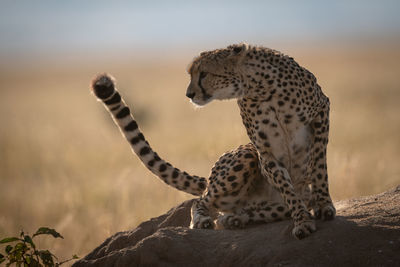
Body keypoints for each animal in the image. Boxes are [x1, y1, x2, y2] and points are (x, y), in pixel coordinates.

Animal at [186, 43, 336, 239]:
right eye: (191, 74)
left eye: (204, 73)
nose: (189, 94)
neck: (260, 88)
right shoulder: (265, 151)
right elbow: (286, 188)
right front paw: (303, 222)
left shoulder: (321, 110)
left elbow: (318, 166)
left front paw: (324, 205)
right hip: (247, 155)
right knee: (200, 200)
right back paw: (205, 220)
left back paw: (234, 219)